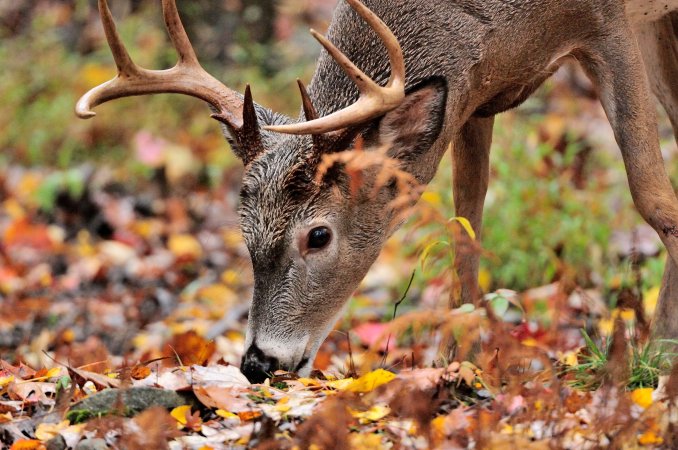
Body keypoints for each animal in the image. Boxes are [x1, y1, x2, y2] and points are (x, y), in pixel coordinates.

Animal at [79, 0, 678, 384]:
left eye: (318, 235)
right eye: (243, 233)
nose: (257, 363)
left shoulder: (608, 24)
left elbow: (654, 199)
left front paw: (658, 358)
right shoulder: (474, 99)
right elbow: (466, 228)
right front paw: (458, 364)